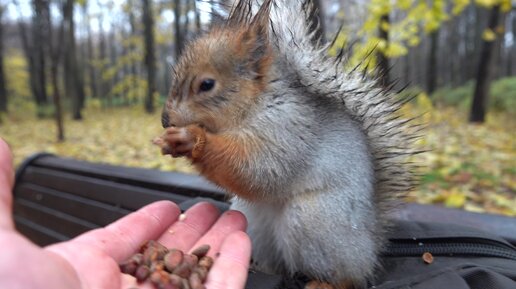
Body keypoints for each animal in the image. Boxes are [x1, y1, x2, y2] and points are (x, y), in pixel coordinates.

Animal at [155, 1, 418, 286]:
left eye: (206, 84)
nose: (165, 120)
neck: (255, 104)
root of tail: (371, 249)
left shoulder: (290, 128)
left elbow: (259, 168)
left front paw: (191, 139)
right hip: (254, 223)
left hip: (313, 221)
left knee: (346, 278)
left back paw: (324, 283)